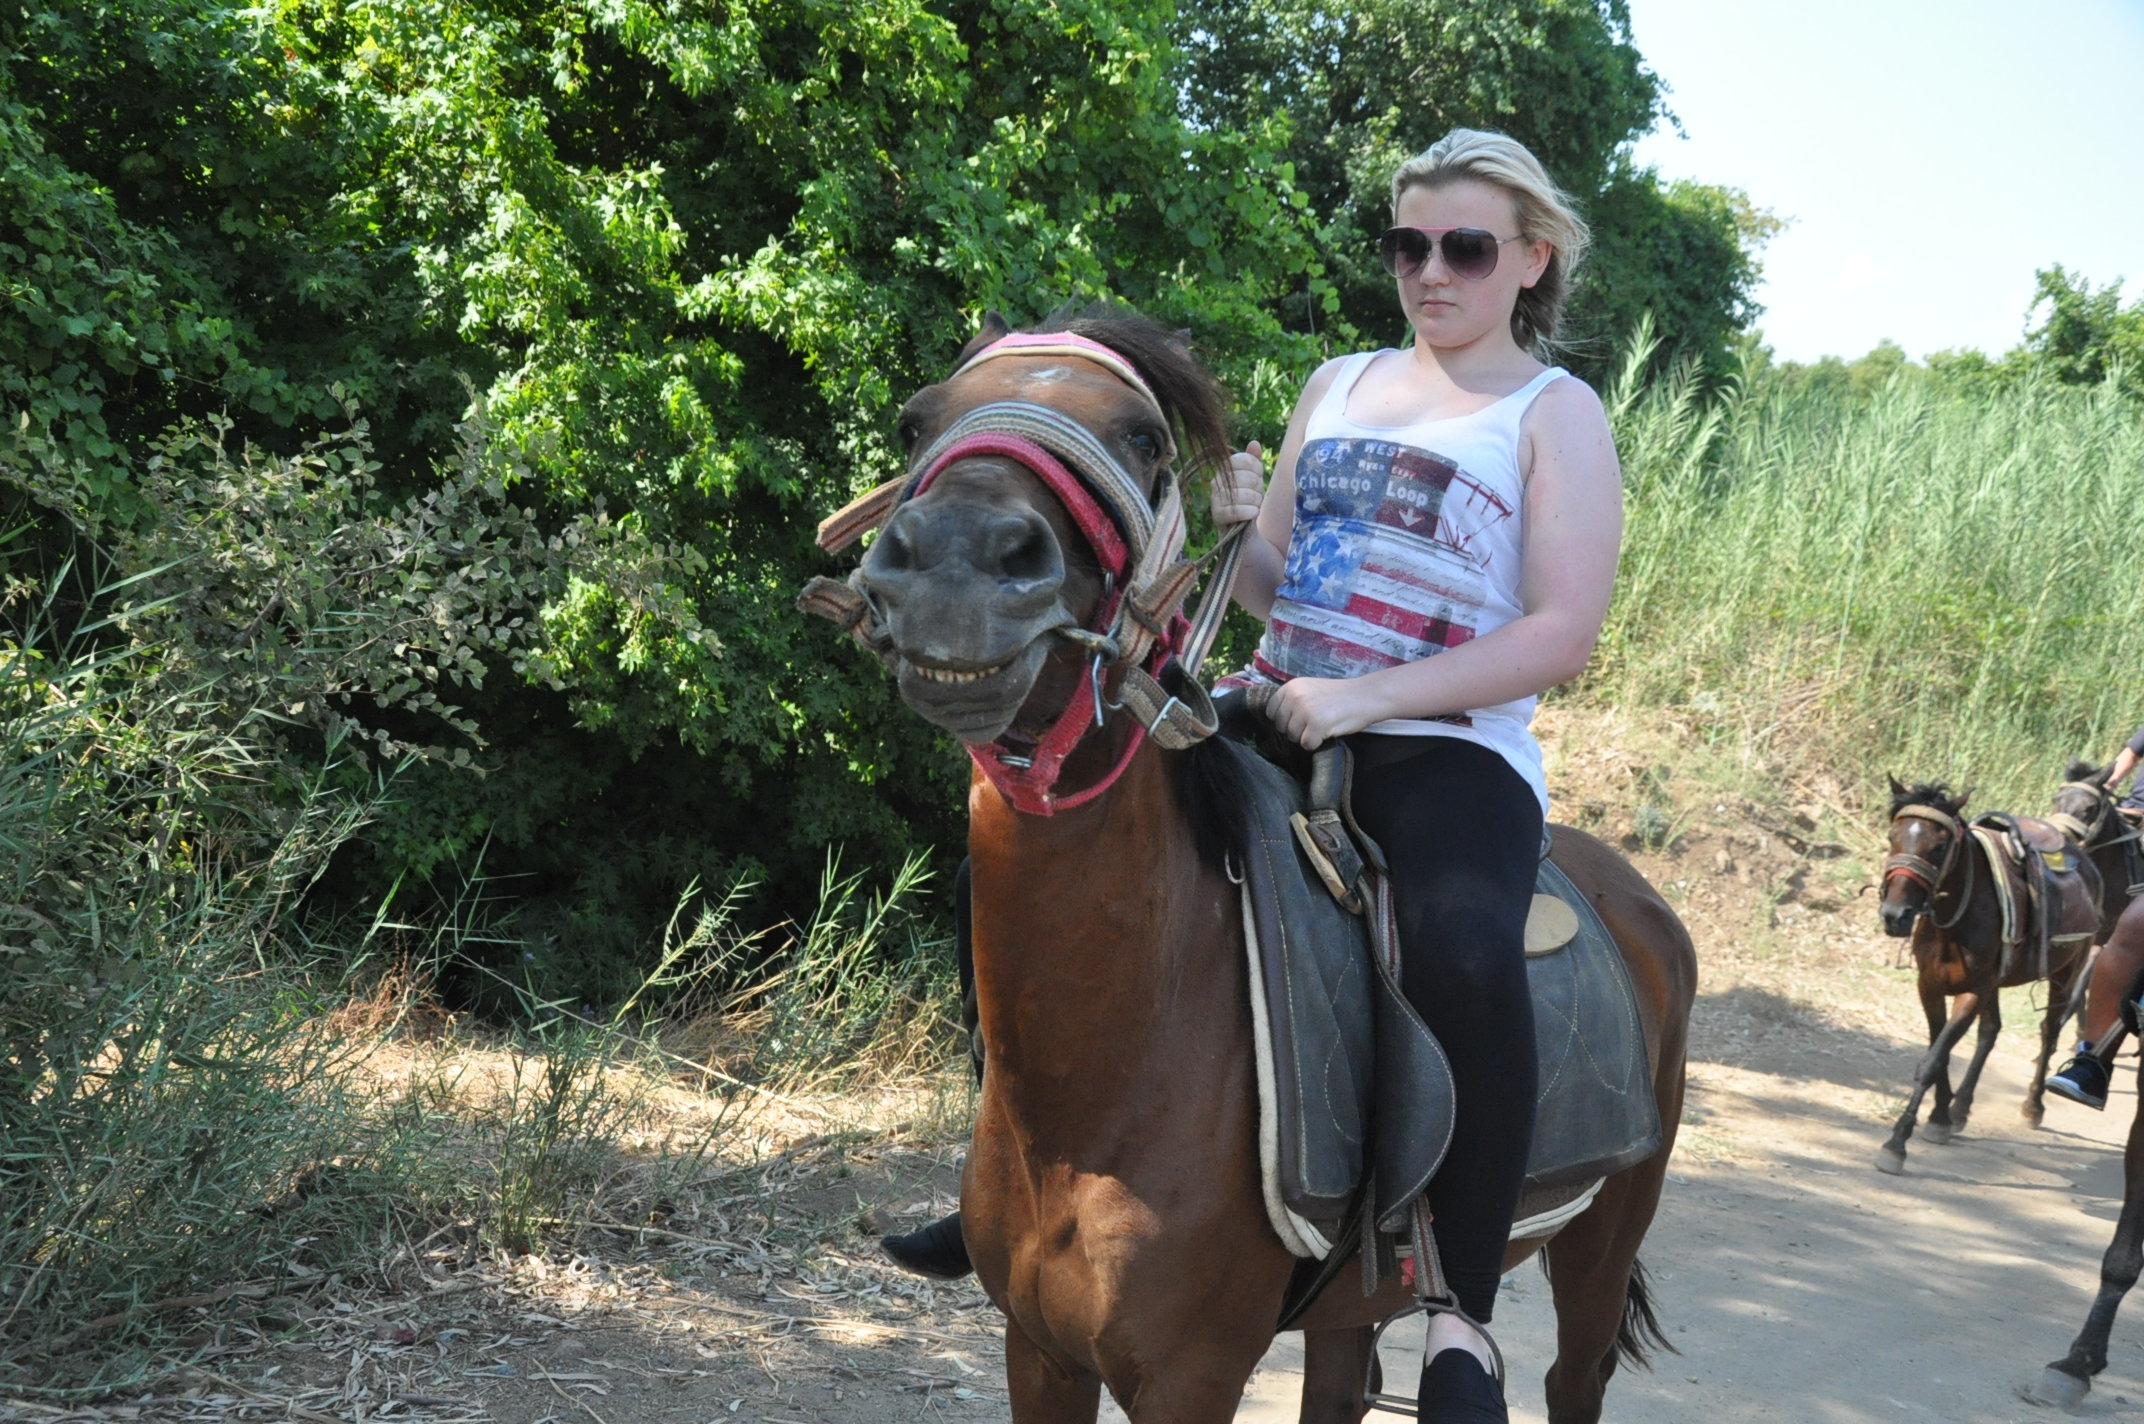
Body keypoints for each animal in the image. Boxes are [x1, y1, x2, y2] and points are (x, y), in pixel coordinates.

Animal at [810, 306, 1696, 1423]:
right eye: (917, 419)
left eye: (1144, 439)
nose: (957, 565)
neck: (1098, 1091)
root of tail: (1637, 899)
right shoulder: (1039, 1350)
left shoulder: (1189, 1375)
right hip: (1355, 1303)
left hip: (1597, 1245)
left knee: (1569, 1373)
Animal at [1875, 778, 2097, 1174]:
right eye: (1892, 836)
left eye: (1939, 845)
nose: (1894, 915)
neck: (1955, 919)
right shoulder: (1930, 986)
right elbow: (1940, 1052)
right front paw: (1941, 1116)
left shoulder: (1972, 992)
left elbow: (1932, 1060)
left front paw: (1898, 1141)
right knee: (1991, 1031)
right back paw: (1960, 1108)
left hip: (2068, 971)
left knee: (2049, 1031)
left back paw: (2033, 1105)